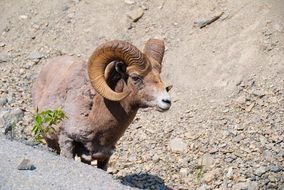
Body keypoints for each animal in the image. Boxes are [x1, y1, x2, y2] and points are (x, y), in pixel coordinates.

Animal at [32, 39, 172, 170]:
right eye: (135, 77)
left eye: (159, 76)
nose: (167, 101)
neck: (94, 117)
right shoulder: (67, 141)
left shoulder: (102, 156)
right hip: (50, 141)